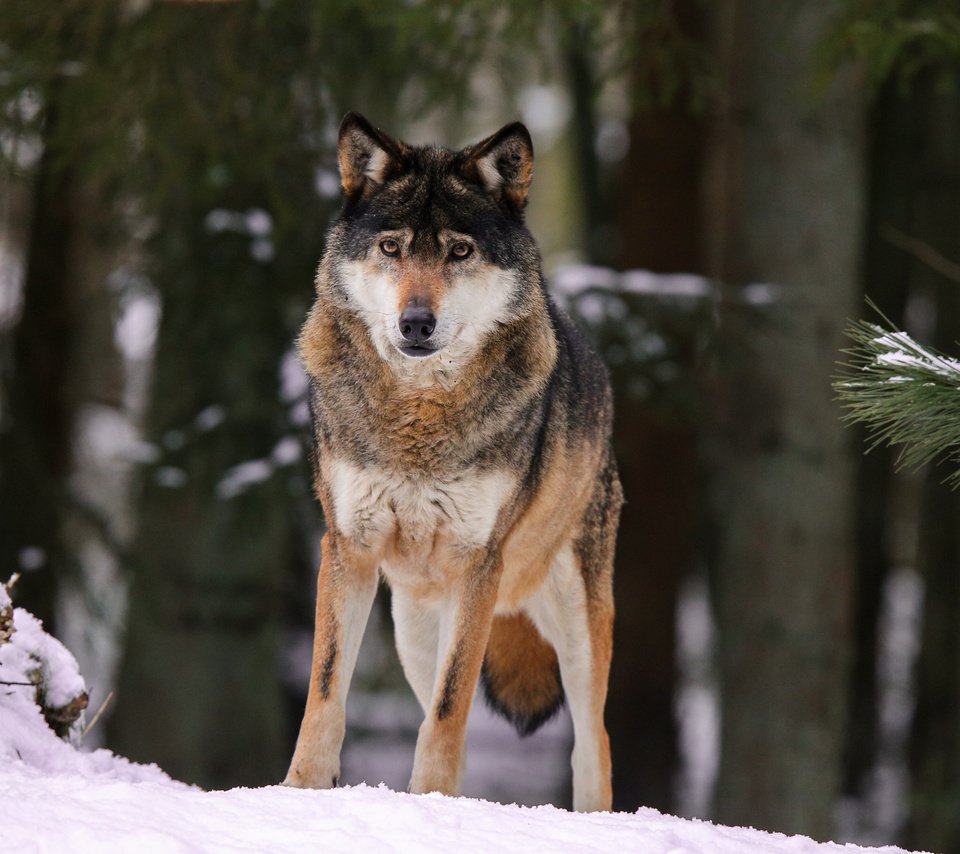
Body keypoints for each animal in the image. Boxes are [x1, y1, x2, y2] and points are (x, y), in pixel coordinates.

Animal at [282, 113, 624, 816]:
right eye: (391, 248)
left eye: (459, 252)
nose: (417, 322)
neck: (419, 418)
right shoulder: (347, 547)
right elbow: (326, 693)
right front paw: (298, 793)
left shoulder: (478, 563)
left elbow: (448, 710)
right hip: (413, 629)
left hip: (575, 623)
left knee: (592, 743)